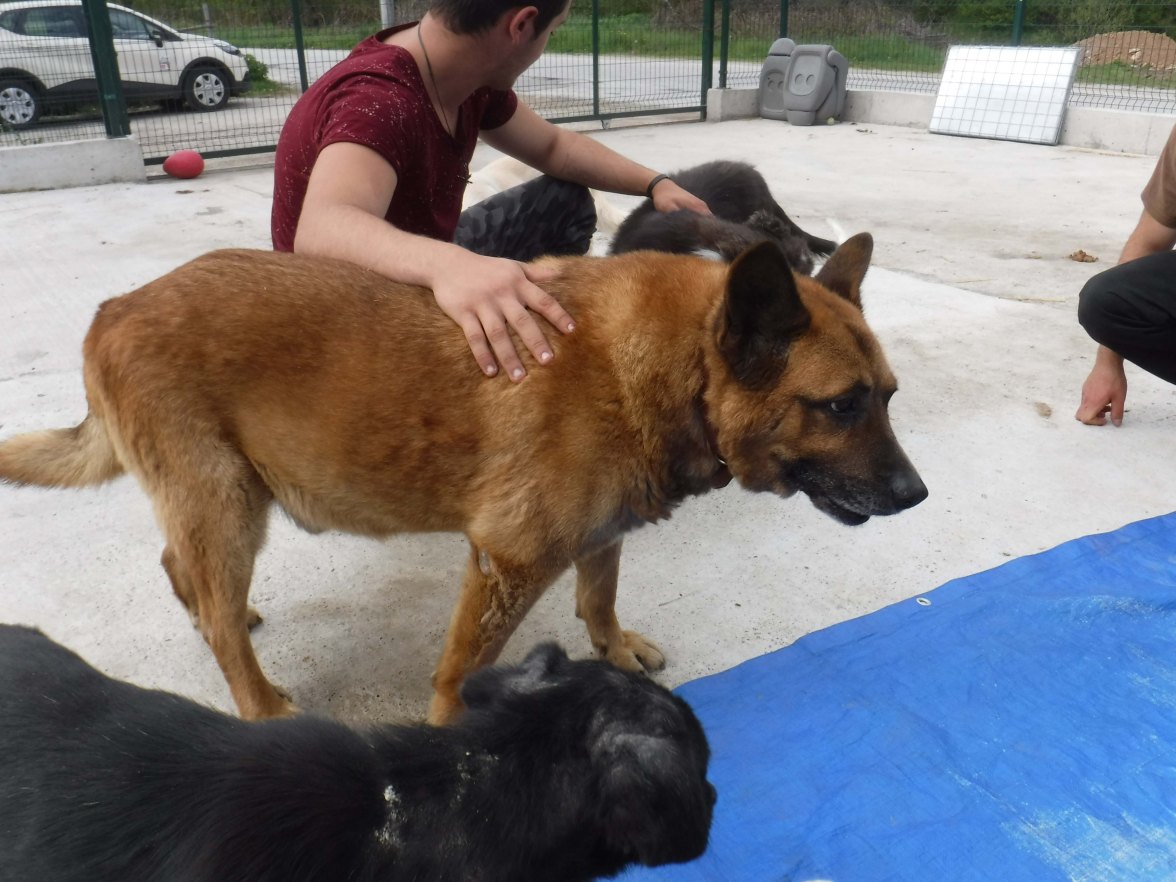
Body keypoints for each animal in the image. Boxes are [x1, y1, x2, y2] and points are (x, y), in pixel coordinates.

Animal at [0, 237, 926, 723]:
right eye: (841, 406)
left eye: (888, 398)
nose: (916, 497)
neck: (673, 364)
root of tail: (113, 309)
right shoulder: (506, 563)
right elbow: (459, 674)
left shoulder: (598, 534)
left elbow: (599, 596)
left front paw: (614, 649)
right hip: (229, 506)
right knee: (222, 623)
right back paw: (257, 699)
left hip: (224, 504)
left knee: (181, 570)